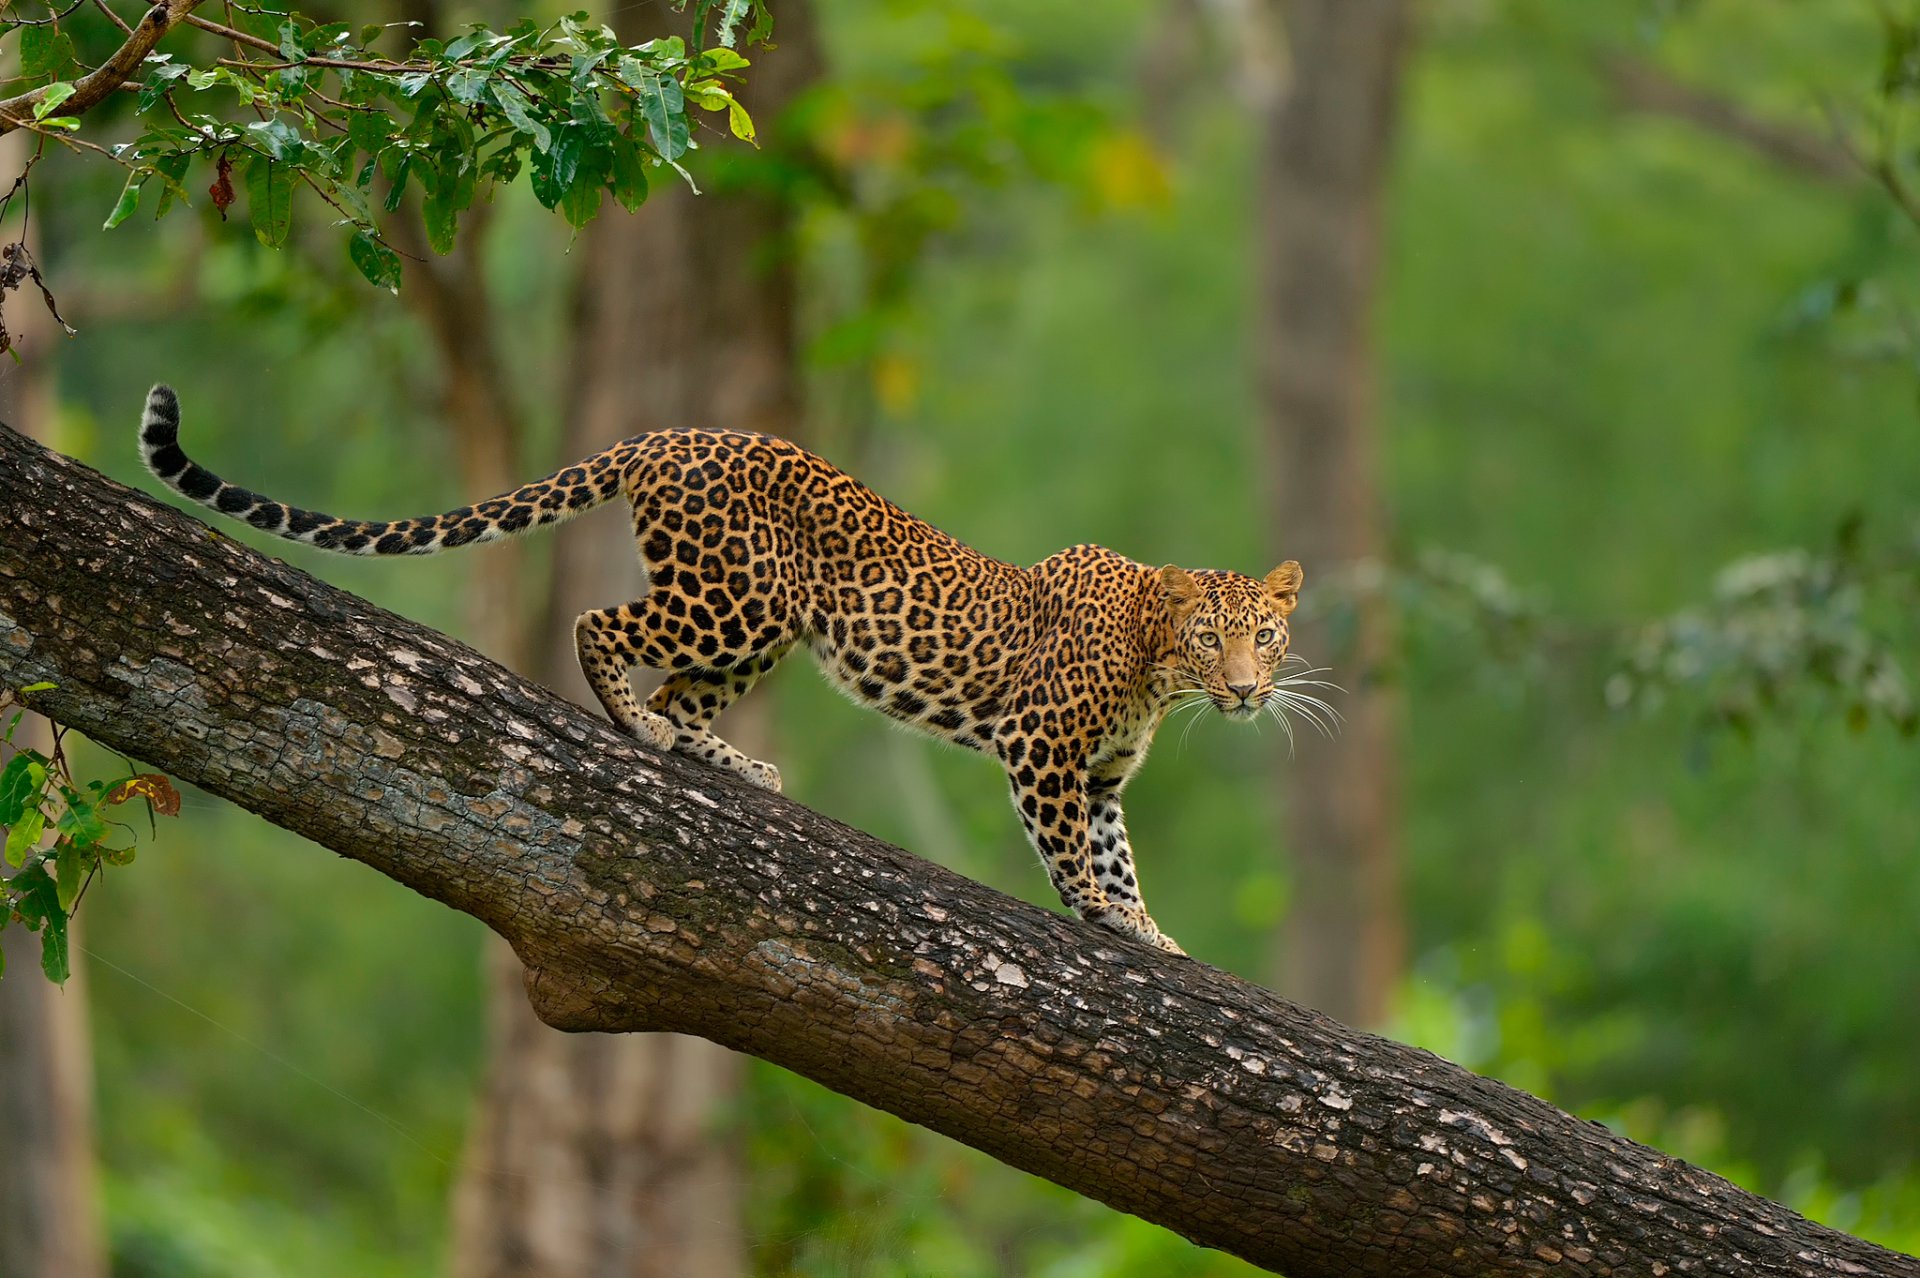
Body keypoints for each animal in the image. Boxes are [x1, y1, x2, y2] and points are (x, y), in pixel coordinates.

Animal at [138, 383, 1314, 954]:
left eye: (1266, 636)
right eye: (1211, 637)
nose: (1247, 690)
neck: (1157, 669)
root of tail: (666, 436)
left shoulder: (1101, 775)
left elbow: (1117, 852)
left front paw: (1150, 930)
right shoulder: (1043, 750)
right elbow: (1074, 855)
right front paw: (1106, 919)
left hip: (764, 629)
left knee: (677, 684)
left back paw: (730, 764)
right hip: (730, 597)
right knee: (601, 625)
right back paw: (637, 727)